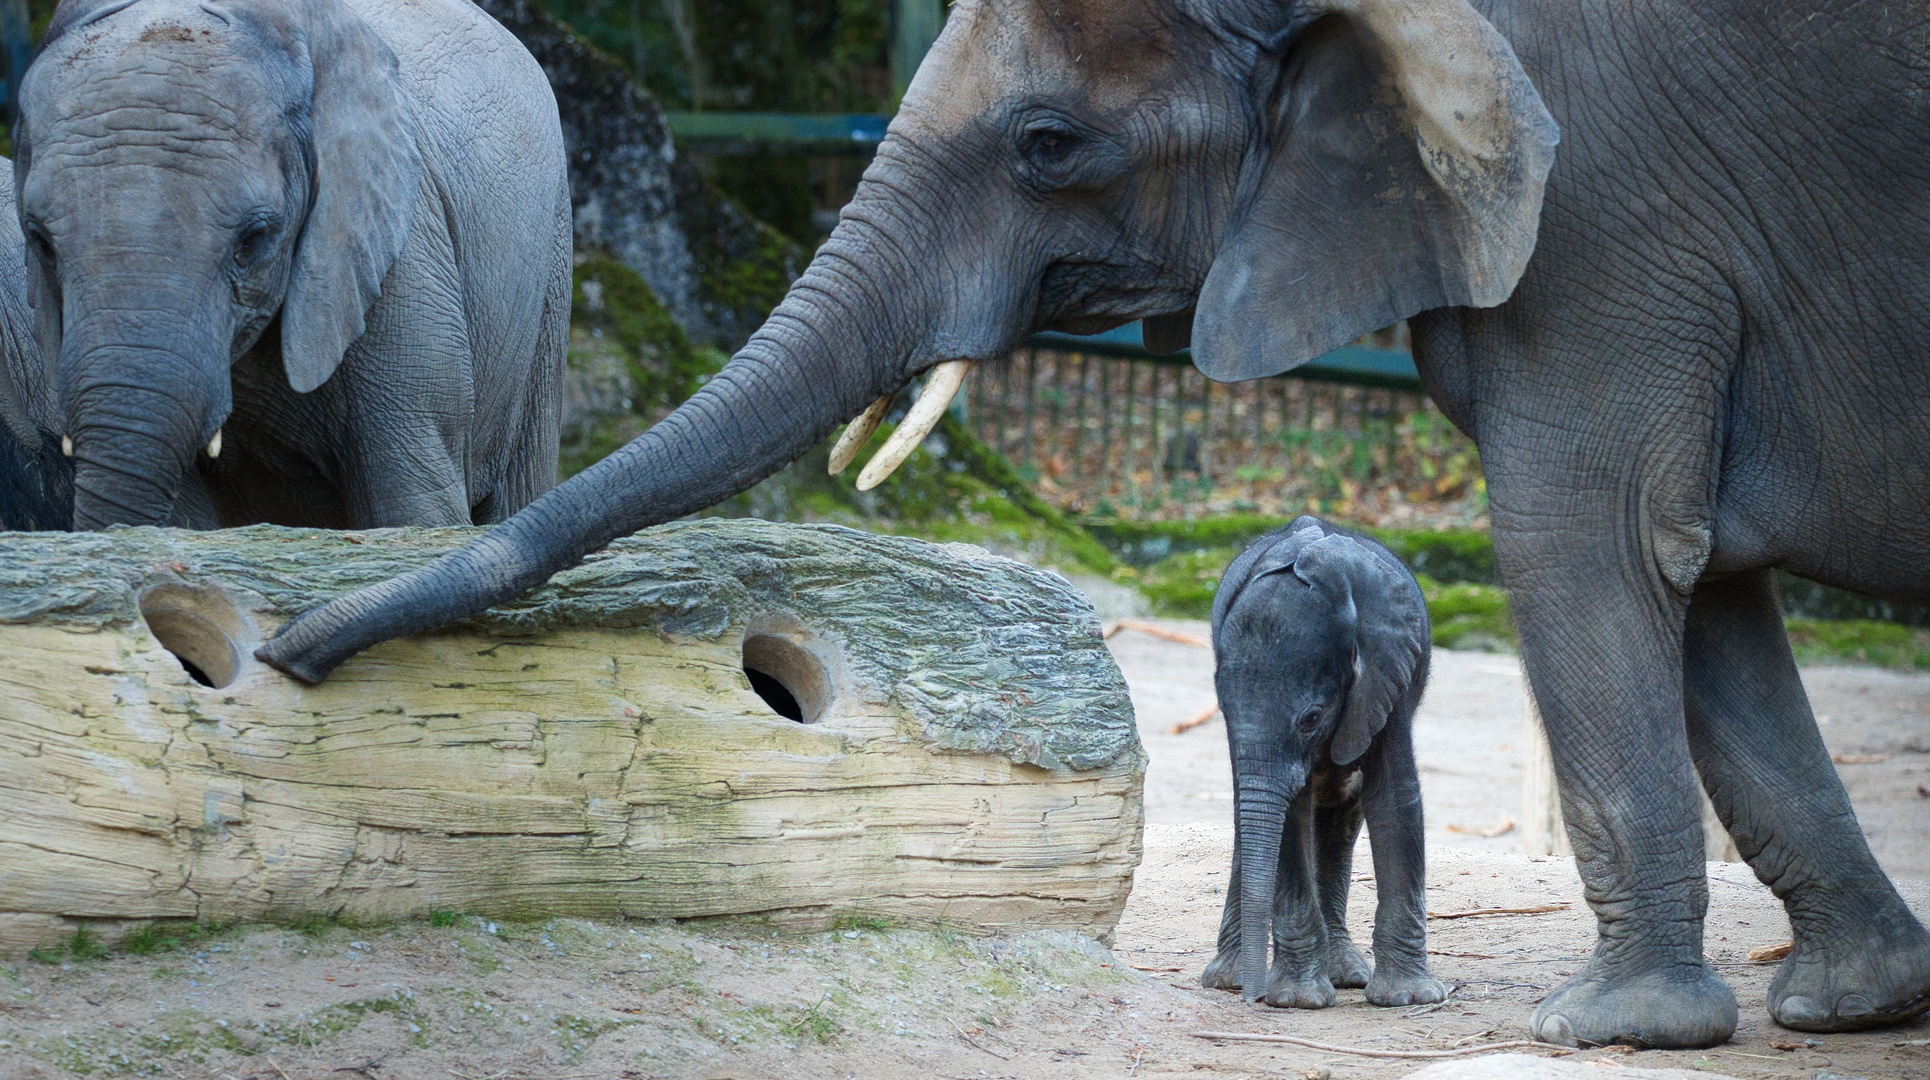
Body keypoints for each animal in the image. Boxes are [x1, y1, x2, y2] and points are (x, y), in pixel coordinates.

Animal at [1196, 520, 1443, 1010]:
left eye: (1311, 718)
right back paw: (1231, 977)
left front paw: (1407, 998)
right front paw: (1298, 1000)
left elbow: (1393, 798)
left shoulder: (1386, 676)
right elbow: (1288, 817)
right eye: (1223, 711)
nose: (1253, 999)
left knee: (1341, 822)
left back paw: (1344, 974)